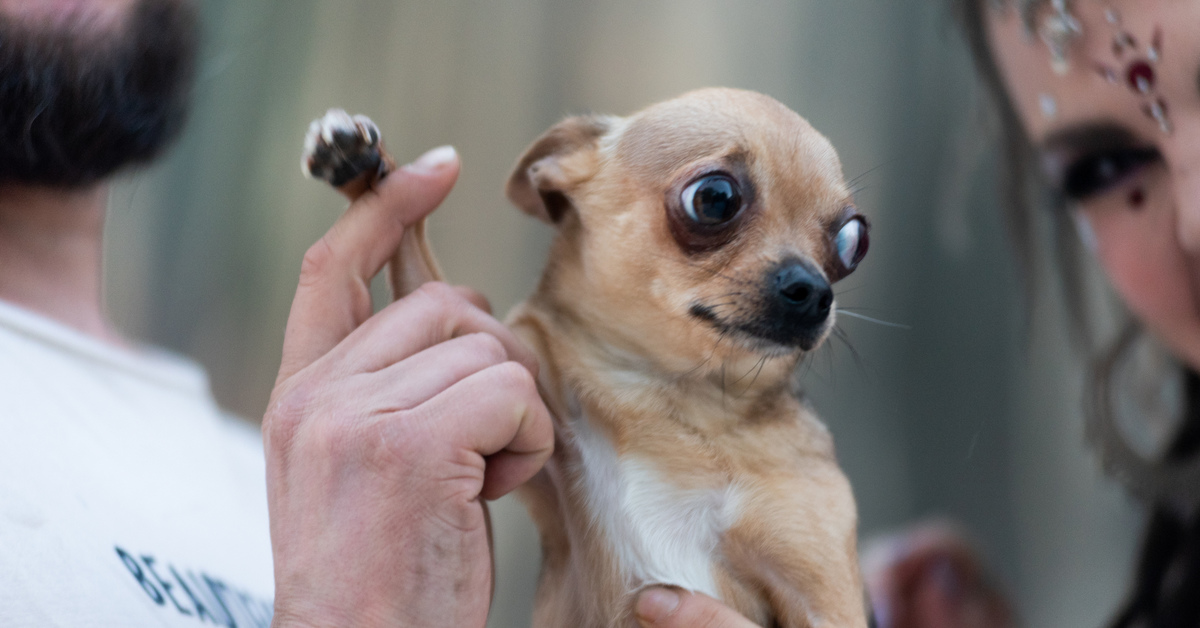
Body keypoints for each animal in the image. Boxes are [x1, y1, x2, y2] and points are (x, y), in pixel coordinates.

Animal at [304, 88, 873, 628]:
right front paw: (359, 161)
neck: (672, 395)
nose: (814, 291)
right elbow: (412, 248)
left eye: (854, 239)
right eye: (715, 199)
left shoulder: (825, 599)